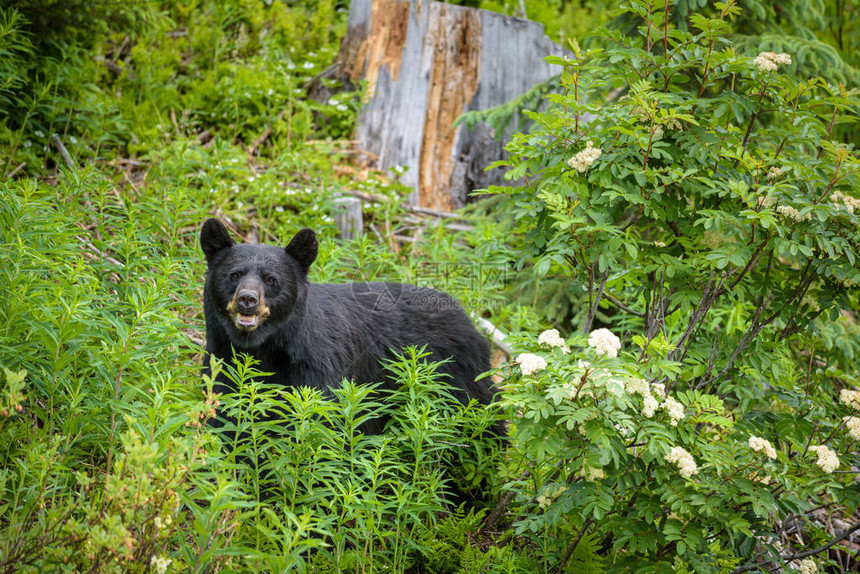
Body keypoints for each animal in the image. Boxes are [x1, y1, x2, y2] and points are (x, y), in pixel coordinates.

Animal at [201, 218, 498, 434]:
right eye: (234, 275)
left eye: (271, 279)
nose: (247, 299)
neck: (264, 347)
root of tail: (467, 317)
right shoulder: (221, 361)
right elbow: (224, 417)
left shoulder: (319, 365)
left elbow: (321, 423)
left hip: (458, 379)